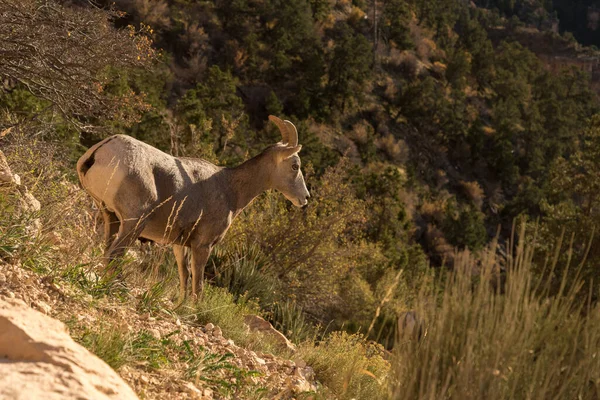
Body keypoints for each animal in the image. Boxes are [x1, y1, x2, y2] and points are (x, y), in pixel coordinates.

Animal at [76, 115, 310, 296]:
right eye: (295, 165)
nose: (305, 198)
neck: (230, 189)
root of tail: (100, 151)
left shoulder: (180, 245)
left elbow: (184, 278)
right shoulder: (203, 245)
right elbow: (198, 284)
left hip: (111, 217)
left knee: (108, 251)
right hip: (134, 223)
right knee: (115, 255)